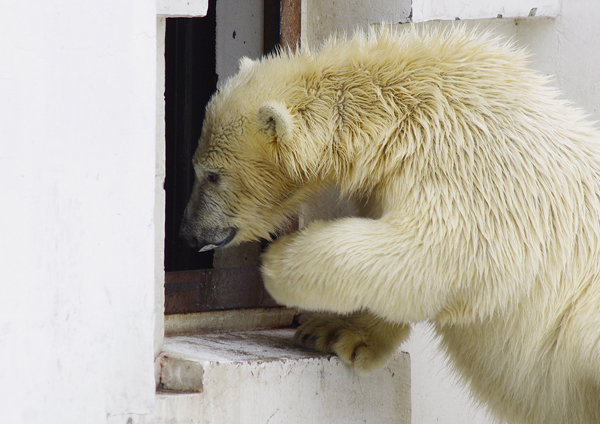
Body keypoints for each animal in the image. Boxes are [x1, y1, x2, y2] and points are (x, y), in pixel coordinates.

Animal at [180, 27, 600, 424]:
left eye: (212, 175)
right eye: (197, 167)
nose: (187, 233)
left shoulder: (466, 157)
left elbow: (439, 245)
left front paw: (281, 264)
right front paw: (335, 332)